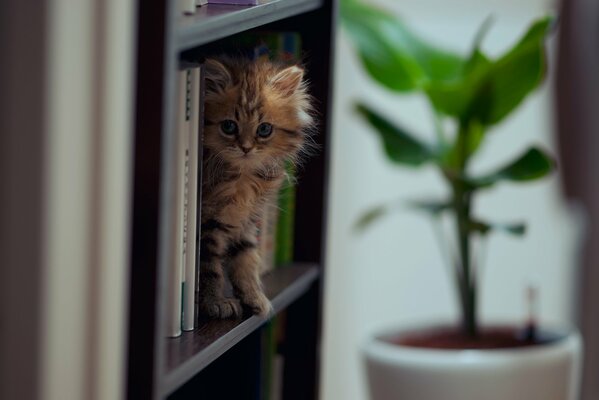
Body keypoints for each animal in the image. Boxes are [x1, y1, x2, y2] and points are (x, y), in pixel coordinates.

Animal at [199, 56, 316, 318]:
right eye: (229, 126)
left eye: (264, 129)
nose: (246, 148)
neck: (241, 177)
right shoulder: (206, 223)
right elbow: (209, 267)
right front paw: (214, 302)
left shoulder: (246, 221)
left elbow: (247, 260)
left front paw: (255, 297)